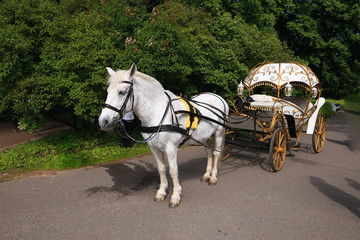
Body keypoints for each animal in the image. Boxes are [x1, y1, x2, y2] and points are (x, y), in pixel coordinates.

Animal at [98, 63, 228, 208]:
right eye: (108, 91)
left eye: (122, 92)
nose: (103, 121)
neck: (158, 112)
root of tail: (219, 97)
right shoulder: (154, 147)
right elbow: (161, 168)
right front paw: (161, 192)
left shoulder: (171, 148)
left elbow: (173, 170)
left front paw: (175, 196)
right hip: (203, 137)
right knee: (209, 151)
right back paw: (206, 175)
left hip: (219, 133)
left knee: (216, 153)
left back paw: (213, 177)